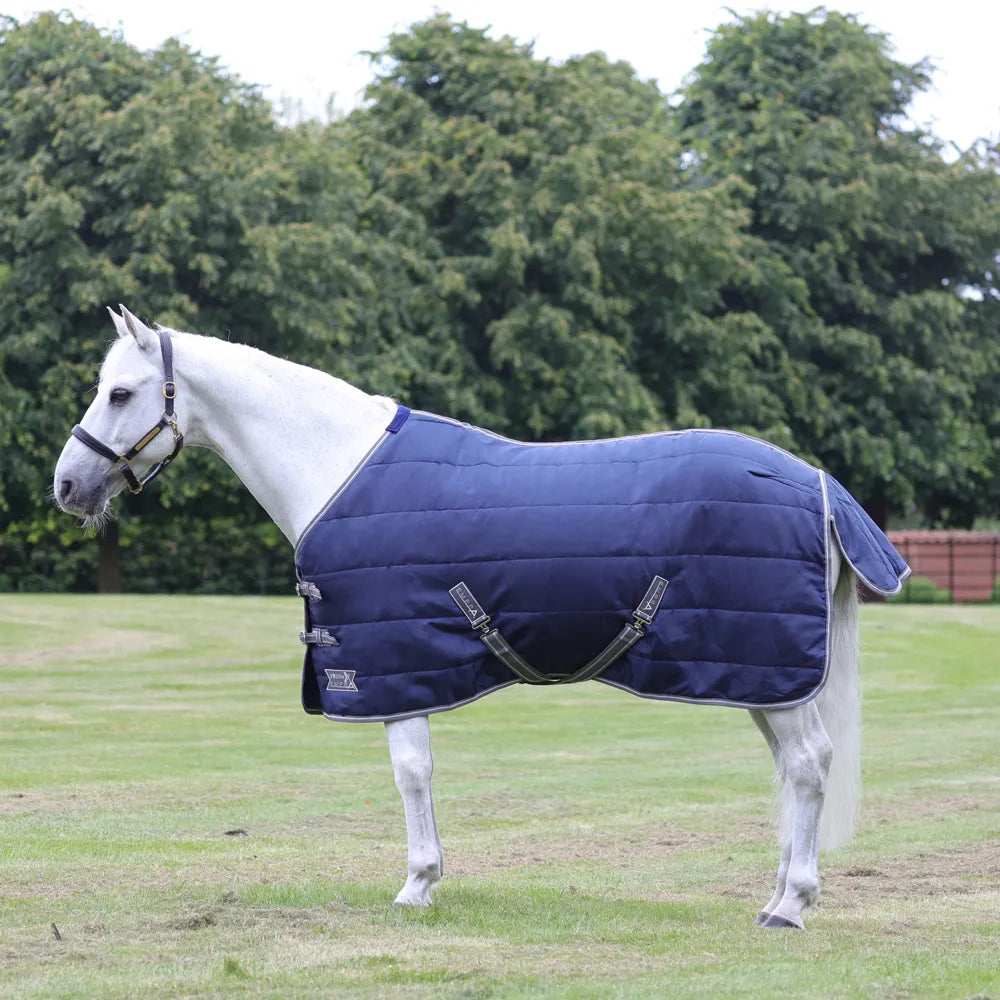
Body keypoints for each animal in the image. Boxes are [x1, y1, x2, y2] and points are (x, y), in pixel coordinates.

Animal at [53, 306, 908, 928]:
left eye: (121, 393)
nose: (66, 485)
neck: (335, 465)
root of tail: (819, 484)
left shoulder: (397, 671)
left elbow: (412, 773)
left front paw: (418, 884)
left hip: (773, 676)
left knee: (808, 766)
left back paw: (792, 905)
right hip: (763, 678)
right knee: (794, 770)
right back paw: (777, 895)